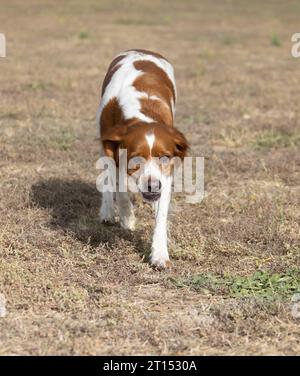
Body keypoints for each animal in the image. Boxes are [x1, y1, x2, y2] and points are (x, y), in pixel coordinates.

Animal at [97, 49, 189, 268]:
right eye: (136, 160)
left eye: (165, 157)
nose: (153, 186)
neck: (141, 114)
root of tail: (141, 51)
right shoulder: (112, 152)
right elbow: (119, 189)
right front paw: (127, 218)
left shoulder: (166, 176)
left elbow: (161, 216)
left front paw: (159, 254)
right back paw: (107, 212)